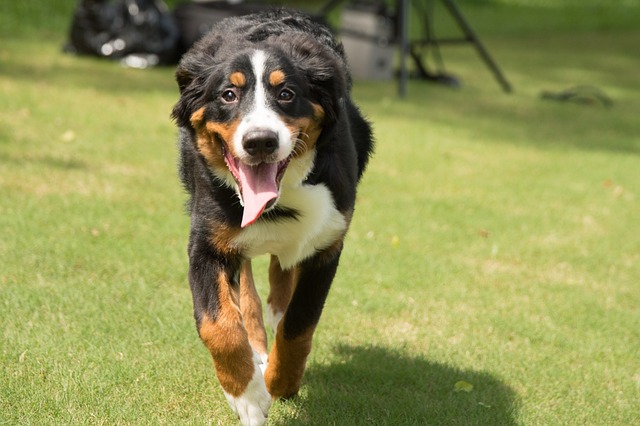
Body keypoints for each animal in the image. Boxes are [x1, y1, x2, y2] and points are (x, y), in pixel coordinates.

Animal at [171, 8, 376, 424]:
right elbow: (218, 324)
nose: (260, 141)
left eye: (286, 94)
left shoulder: (327, 243)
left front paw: (282, 381)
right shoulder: (207, 244)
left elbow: (300, 322)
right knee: (248, 292)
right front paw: (247, 395)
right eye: (228, 94)